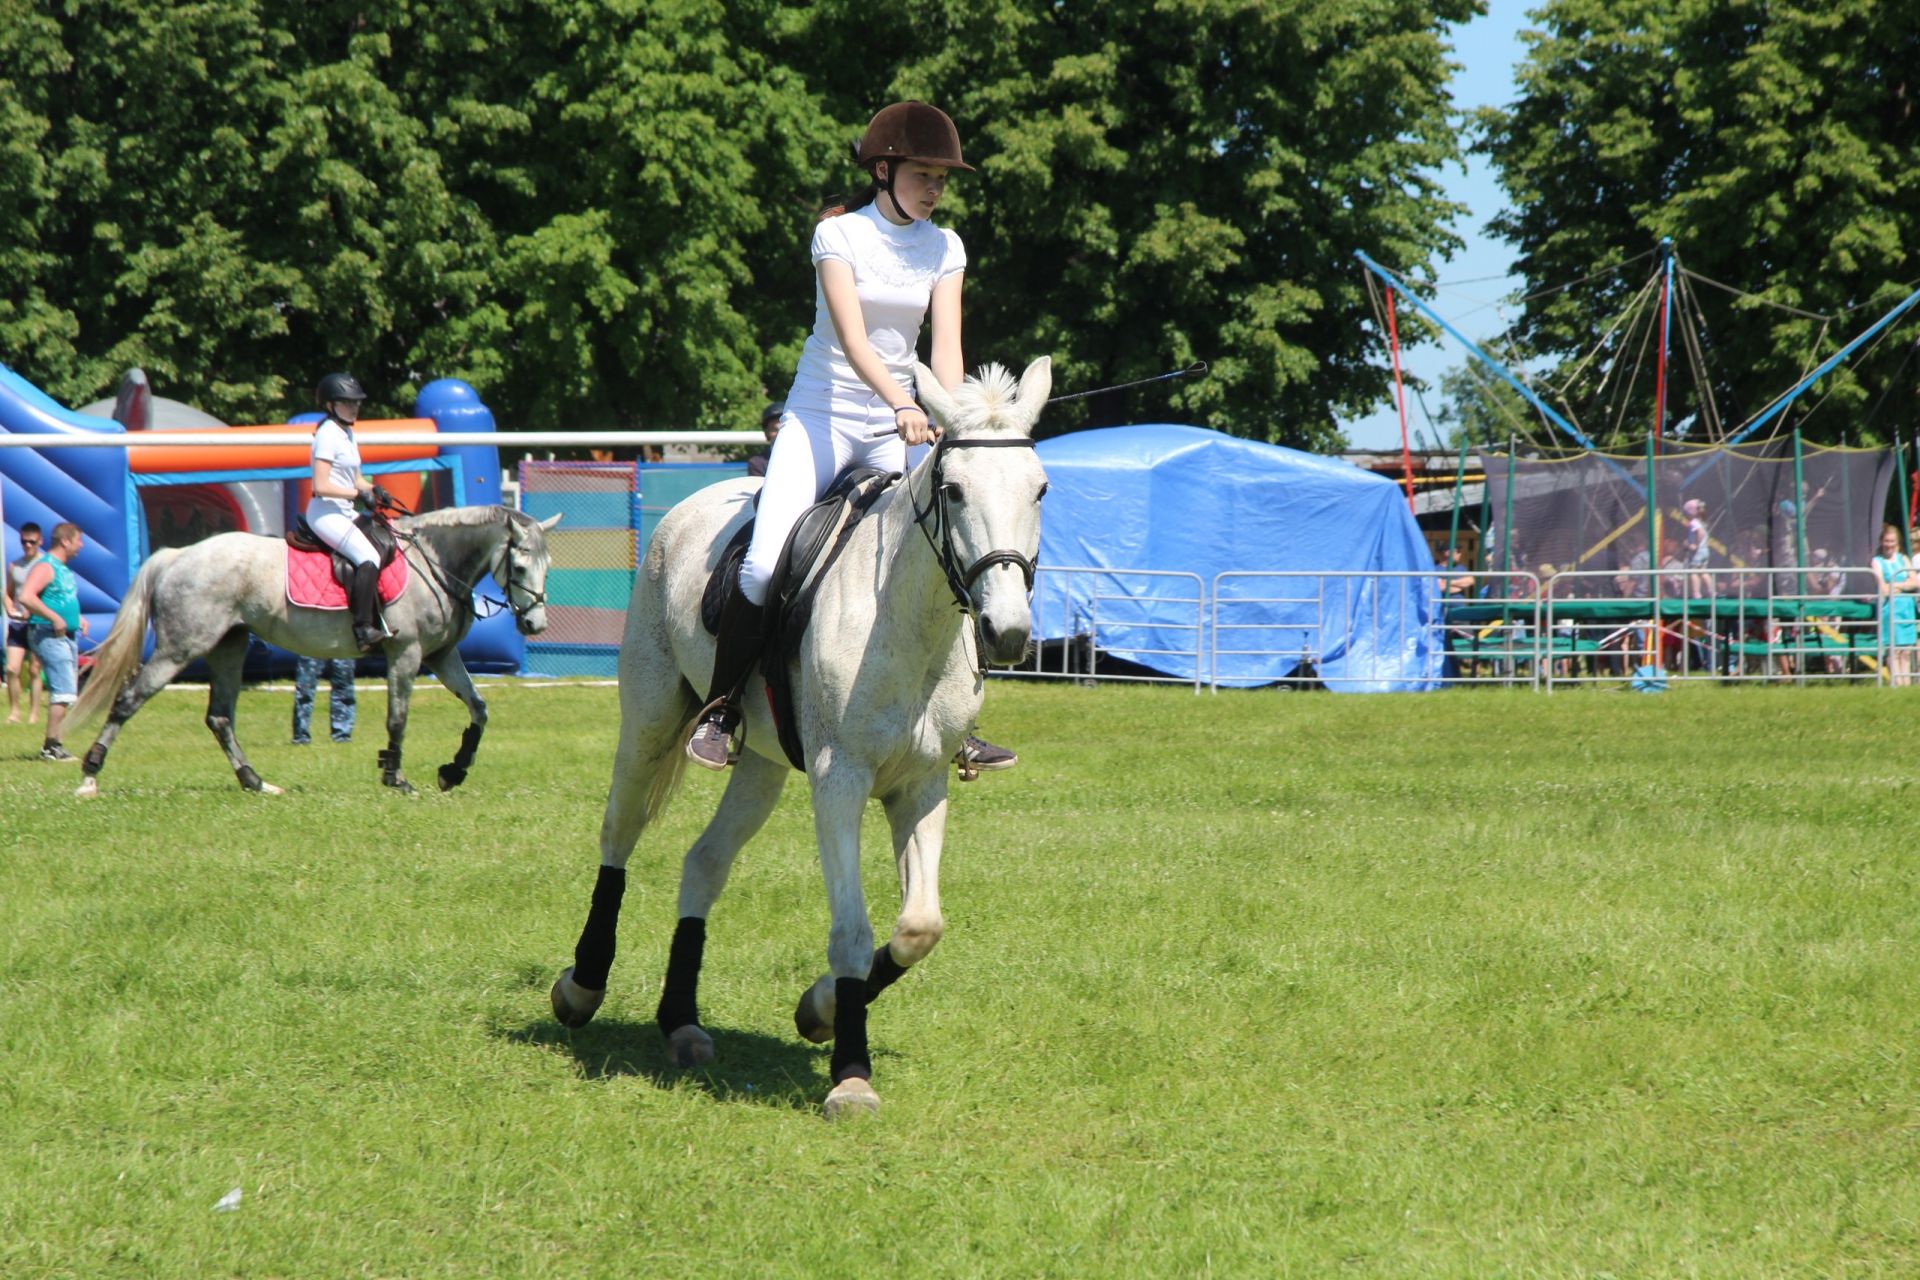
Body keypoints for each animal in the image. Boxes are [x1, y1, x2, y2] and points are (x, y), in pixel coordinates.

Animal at [67, 510, 560, 802]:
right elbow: (398, 718)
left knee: (220, 717)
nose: (535, 625)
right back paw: (90, 776)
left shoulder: (442, 656)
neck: (436, 564)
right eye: (519, 567)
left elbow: (479, 709)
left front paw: (453, 771)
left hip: (229, 645)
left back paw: (256, 782)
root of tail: (178, 556)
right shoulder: (407, 653)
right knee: (129, 700)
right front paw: (394, 776)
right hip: (181, 648)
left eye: (547, 567)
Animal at [541, 355, 1052, 1113]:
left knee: (705, 861)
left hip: (761, 761)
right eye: (954, 490)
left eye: (1040, 488)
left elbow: (919, 926)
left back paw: (680, 1020)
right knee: (618, 836)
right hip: (651, 719)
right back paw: (581, 986)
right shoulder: (839, 781)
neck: (909, 621)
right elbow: (852, 932)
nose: (1008, 632)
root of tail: (695, 506)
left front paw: (821, 1010)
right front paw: (851, 1074)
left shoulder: (921, 785)